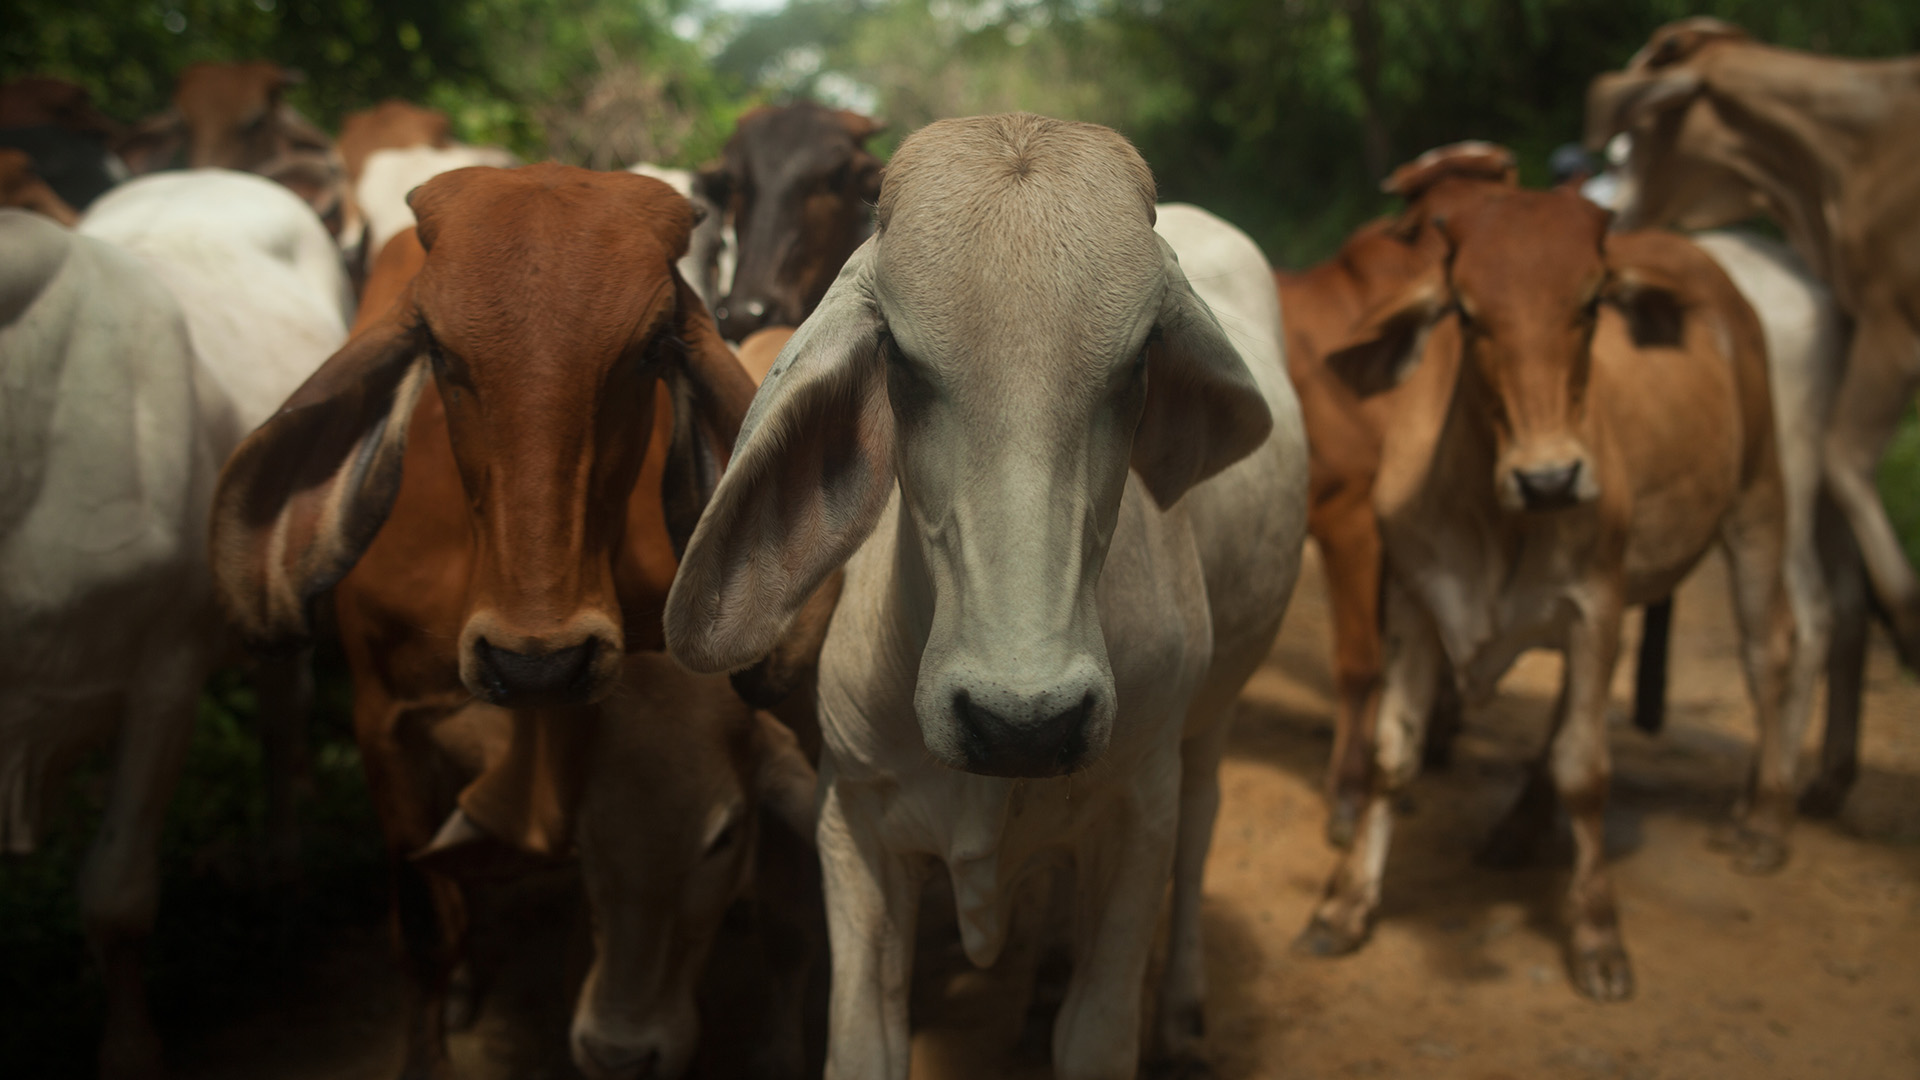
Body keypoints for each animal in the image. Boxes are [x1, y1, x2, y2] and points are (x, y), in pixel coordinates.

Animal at [1293, 166, 1799, 1003]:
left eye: (1590, 303)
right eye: (1466, 312)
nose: (1551, 478)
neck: (1494, 512)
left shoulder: (1593, 603)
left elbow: (1586, 770)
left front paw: (1596, 936)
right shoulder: (1413, 599)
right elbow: (1395, 755)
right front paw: (1344, 906)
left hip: (1757, 501)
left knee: (1771, 652)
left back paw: (1763, 819)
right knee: (1567, 715)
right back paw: (1519, 827)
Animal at [1586, 19, 1920, 815]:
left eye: (1631, 139)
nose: (1616, 214)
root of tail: (1814, 297)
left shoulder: (1897, 333)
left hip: (1787, 469)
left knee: (1810, 607)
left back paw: (1768, 802)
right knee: (1840, 604)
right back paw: (1813, 778)